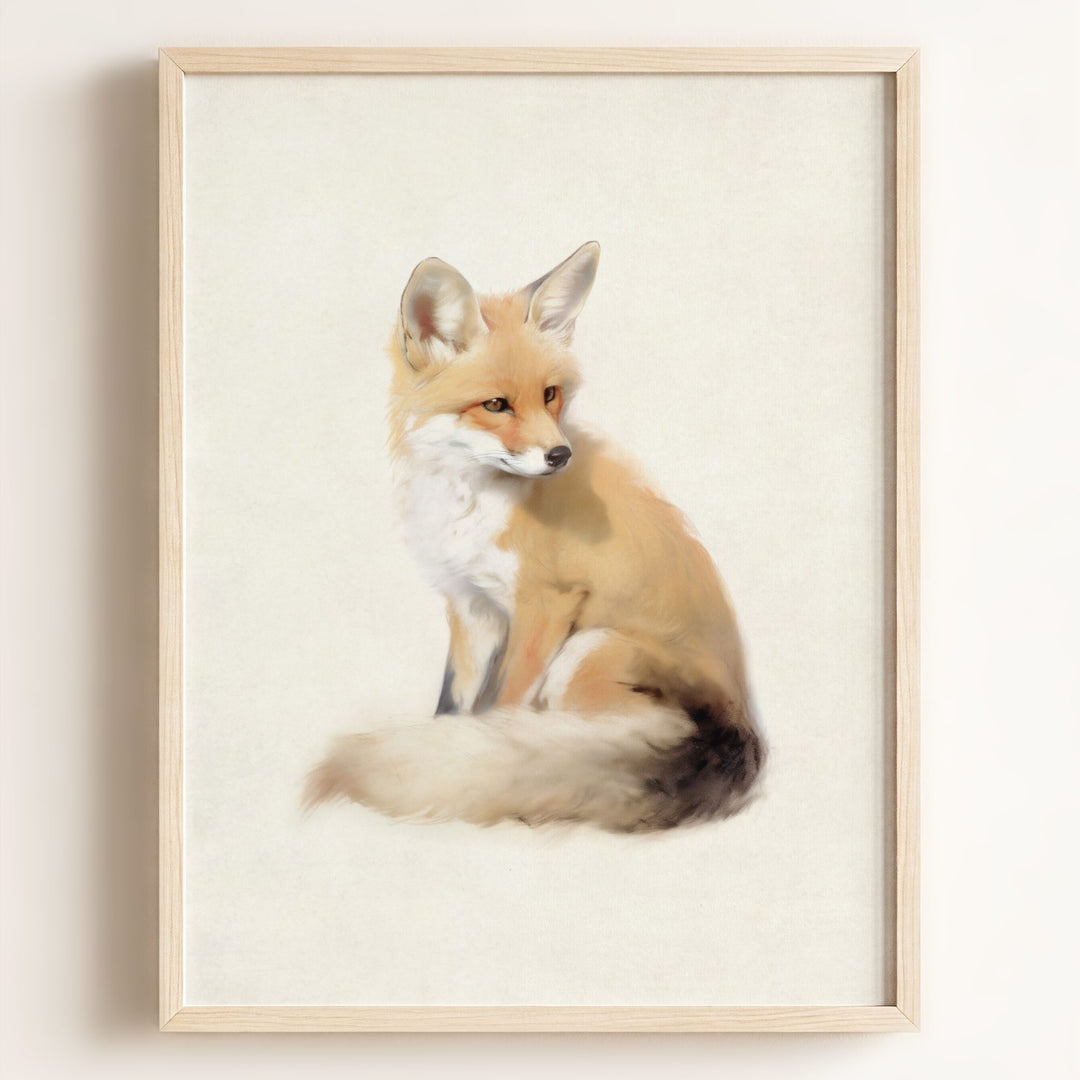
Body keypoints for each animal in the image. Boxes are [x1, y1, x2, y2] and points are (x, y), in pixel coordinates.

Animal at [305, 242, 766, 832]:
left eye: (550, 394)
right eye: (495, 405)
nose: (560, 455)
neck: (468, 506)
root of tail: (742, 730)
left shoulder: (546, 606)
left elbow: (503, 708)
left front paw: (479, 761)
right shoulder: (470, 607)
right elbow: (455, 703)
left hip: (587, 650)